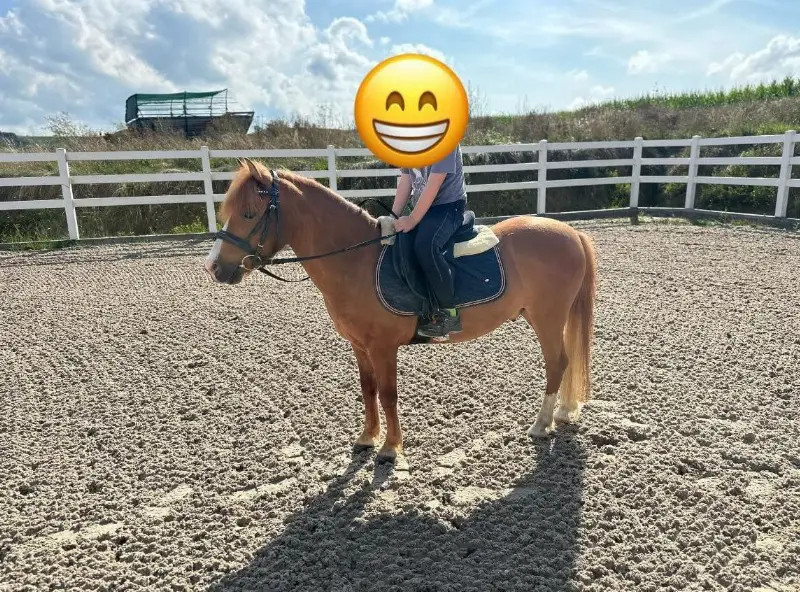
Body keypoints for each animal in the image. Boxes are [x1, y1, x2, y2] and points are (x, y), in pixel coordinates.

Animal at [204, 158, 597, 465]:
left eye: (249, 214)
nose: (214, 267)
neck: (356, 260)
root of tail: (571, 232)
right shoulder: (359, 346)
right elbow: (368, 389)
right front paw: (367, 438)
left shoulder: (383, 347)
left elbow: (388, 393)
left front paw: (391, 448)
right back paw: (562, 412)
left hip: (547, 318)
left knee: (557, 363)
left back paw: (542, 424)